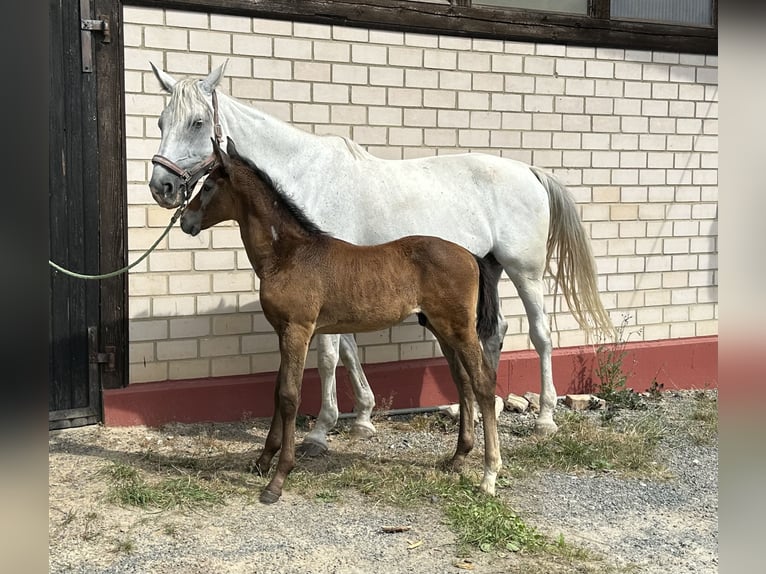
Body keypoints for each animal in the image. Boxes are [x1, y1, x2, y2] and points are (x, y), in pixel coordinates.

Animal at [147, 59, 616, 454]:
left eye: (198, 122)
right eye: (160, 120)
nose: (161, 188)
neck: (305, 174)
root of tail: (530, 172)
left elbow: (329, 356)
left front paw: (320, 431)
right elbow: (348, 349)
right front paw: (363, 418)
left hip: (525, 272)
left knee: (541, 335)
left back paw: (545, 418)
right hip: (491, 270)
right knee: (494, 332)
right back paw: (480, 404)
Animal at [180, 138, 504, 504]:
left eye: (208, 186)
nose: (185, 221)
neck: (288, 255)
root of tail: (471, 256)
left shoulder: (298, 329)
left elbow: (290, 395)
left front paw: (278, 479)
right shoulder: (283, 331)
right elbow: (278, 390)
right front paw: (263, 461)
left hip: (460, 328)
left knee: (483, 382)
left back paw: (489, 476)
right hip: (440, 327)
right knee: (462, 381)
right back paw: (458, 457)